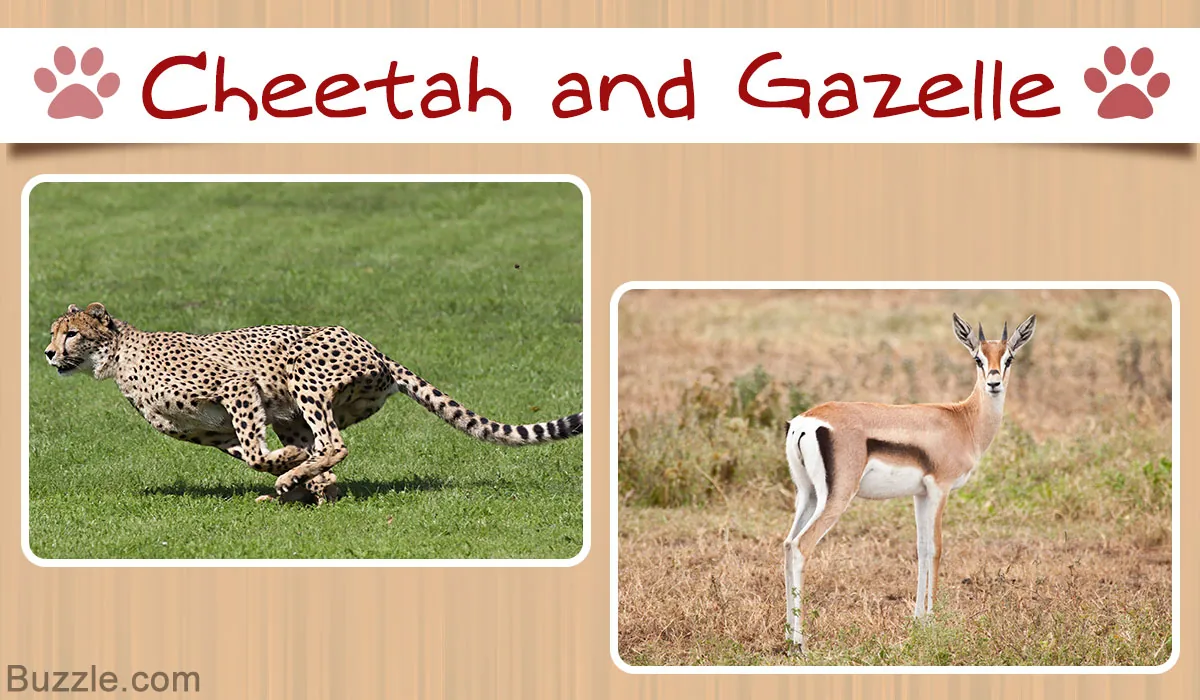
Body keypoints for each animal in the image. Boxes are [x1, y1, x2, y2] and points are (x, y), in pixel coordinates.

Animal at [43, 302, 584, 506]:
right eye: (54, 333)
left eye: (71, 334)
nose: (47, 353)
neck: (118, 357)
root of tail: (376, 348)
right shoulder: (212, 432)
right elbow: (251, 453)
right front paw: (298, 476)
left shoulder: (239, 386)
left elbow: (257, 452)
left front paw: (288, 469)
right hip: (293, 411)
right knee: (321, 450)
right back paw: (310, 487)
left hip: (304, 379)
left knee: (334, 444)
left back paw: (301, 481)